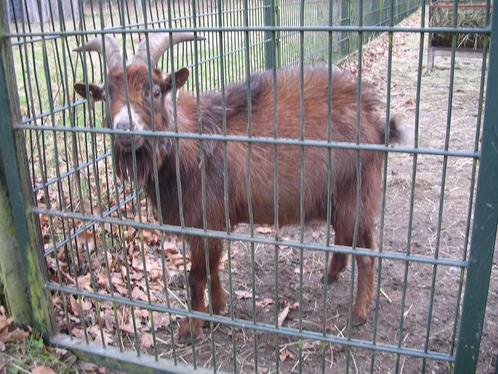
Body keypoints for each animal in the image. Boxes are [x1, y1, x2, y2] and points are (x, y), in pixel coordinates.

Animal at [74, 34, 404, 342]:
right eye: (105, 96)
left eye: (155, 91)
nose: (124, 129)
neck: (187, 146)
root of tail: (377, 122)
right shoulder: (212, 225)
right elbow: (213, 270)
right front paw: (218, 309)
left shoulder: (206, 218)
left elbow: (196, 276)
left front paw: (191, 328)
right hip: (344, 198)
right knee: (352, 240)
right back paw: (331, 275)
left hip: (354, 194)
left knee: (365, 254)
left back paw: (359, 314)